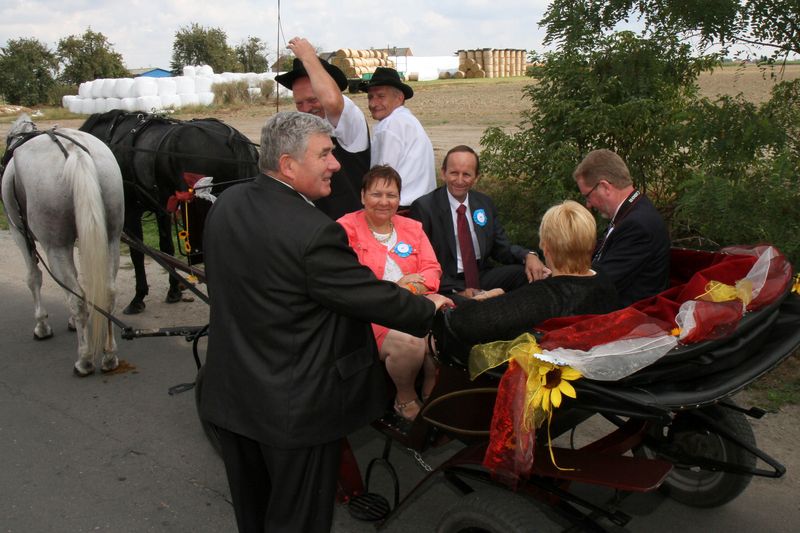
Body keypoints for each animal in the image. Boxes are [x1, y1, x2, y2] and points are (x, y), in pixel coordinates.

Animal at [2, 116, 124, 374]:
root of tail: (75, 153)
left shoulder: (18, 233)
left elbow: (33, 277)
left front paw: (41, 325)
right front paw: (72, 323)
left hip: (55, 246)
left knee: (77, 298)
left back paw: (84, 359)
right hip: (111, 239)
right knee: (107, 293)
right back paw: (109, 355)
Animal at [79, 110, 258, 314]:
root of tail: (232, 137)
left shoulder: (132, 210)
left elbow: (137, 252)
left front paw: (138, 297)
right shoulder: (161, 208)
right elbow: (167, 247)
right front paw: (174, 290)